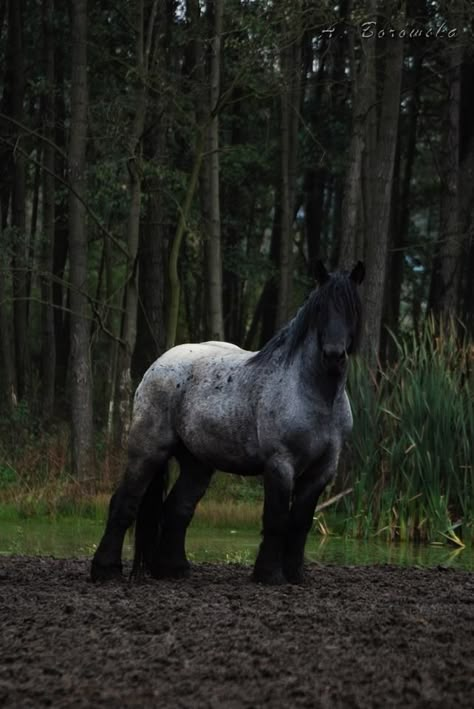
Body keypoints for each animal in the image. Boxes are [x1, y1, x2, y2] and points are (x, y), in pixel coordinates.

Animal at [92, 262, 366, 584]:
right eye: (321, 308)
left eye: (353, 308)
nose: (334, 354)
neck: (316, 396)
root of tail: (158, 364)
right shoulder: (280, 464)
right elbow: (276, 519)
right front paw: (269, 575)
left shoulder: (321, 471)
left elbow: (300, 522)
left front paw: (295, 574)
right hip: (148, 450)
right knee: (125, 502)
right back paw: (105, 569)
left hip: (197, 464)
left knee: (178, 508)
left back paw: (174, 569)